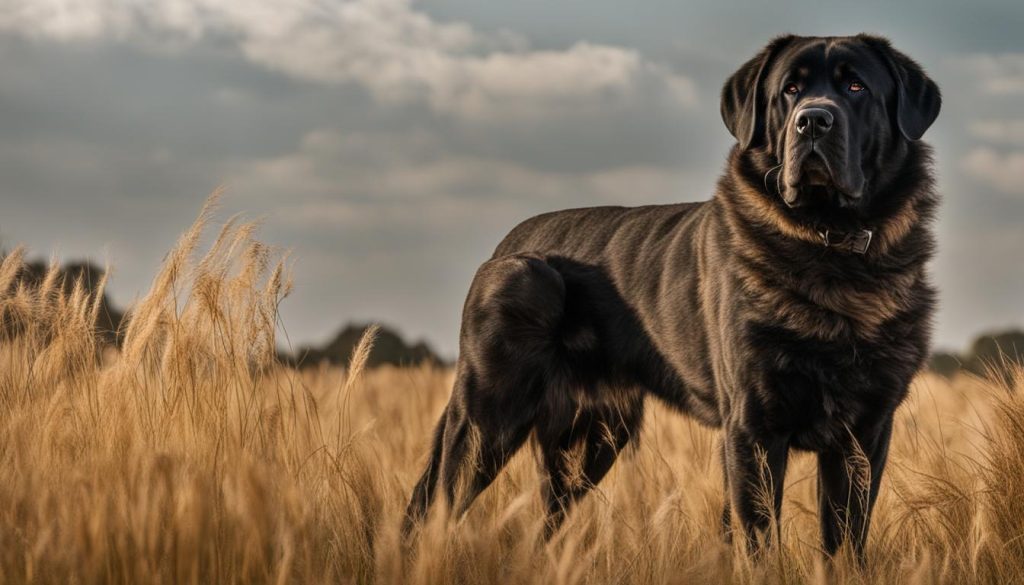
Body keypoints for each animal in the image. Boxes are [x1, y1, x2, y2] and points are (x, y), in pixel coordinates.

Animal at [403, 34, 937, 561]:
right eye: (790, 90)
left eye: (855, 86)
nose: (813, 120)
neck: (828, 244)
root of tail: (504, 246)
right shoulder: (754, 428)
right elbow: (760, 539)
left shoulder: (865, 432)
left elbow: (844, 539)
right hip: (489, 413)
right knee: (434, 509)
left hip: (593, 436)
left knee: (542, 525)